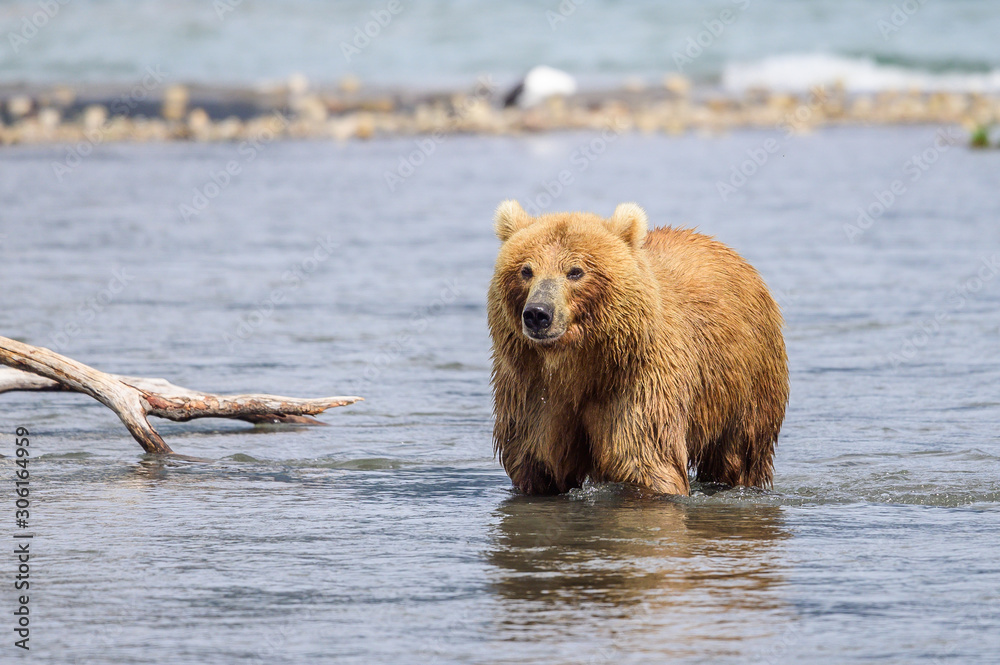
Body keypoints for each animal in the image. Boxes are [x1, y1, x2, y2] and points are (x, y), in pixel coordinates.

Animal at [487, 200, 788, 496]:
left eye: (575, 271)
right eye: (526, 270)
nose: (538, 313)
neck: (579, 363)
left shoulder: (636, 381)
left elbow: (644, 460)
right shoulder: (533, 390)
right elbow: (538, 461)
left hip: (745, 382)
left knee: (738, 453)